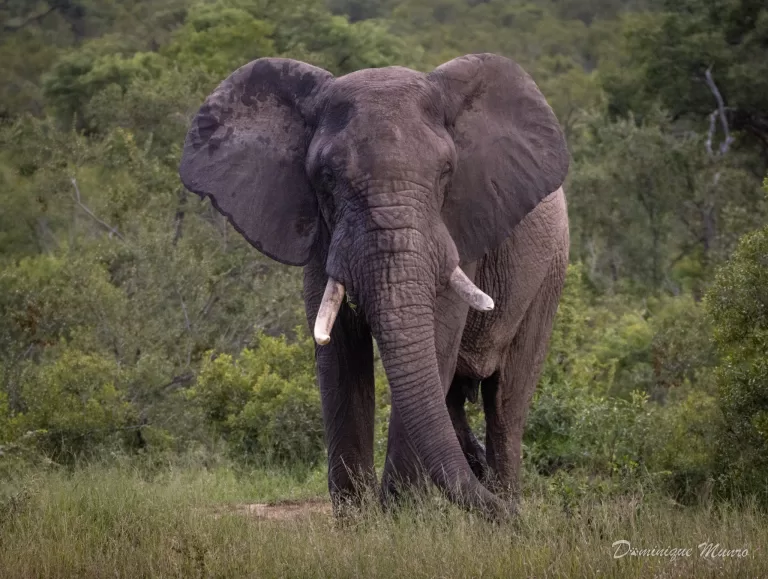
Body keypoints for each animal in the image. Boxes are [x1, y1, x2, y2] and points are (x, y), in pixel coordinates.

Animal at [179, 53, 570, 519]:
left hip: (549, 273)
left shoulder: (458, 228)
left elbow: (436, 338)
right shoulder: (322, 237)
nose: (527, 525)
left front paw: (399, 521)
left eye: (447, 172)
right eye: (326, 176)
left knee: (506, 402)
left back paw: (503, 497)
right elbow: (340, 354)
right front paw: (360, 522)